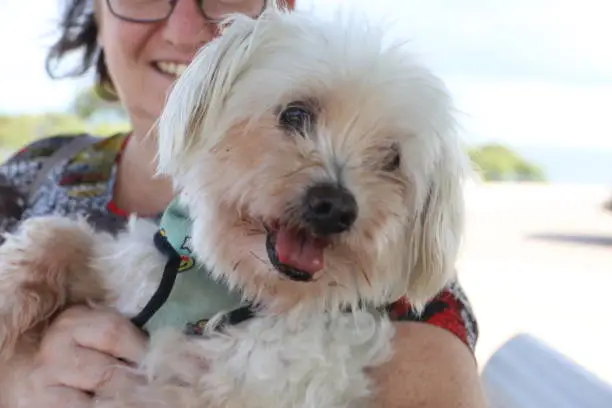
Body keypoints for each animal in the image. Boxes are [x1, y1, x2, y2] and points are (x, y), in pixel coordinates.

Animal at [0, 3, 464, 408]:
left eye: (392, 159)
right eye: (295, 113)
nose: (335, 207)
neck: (234, 289)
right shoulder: (136, 276)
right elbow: (56, 236)